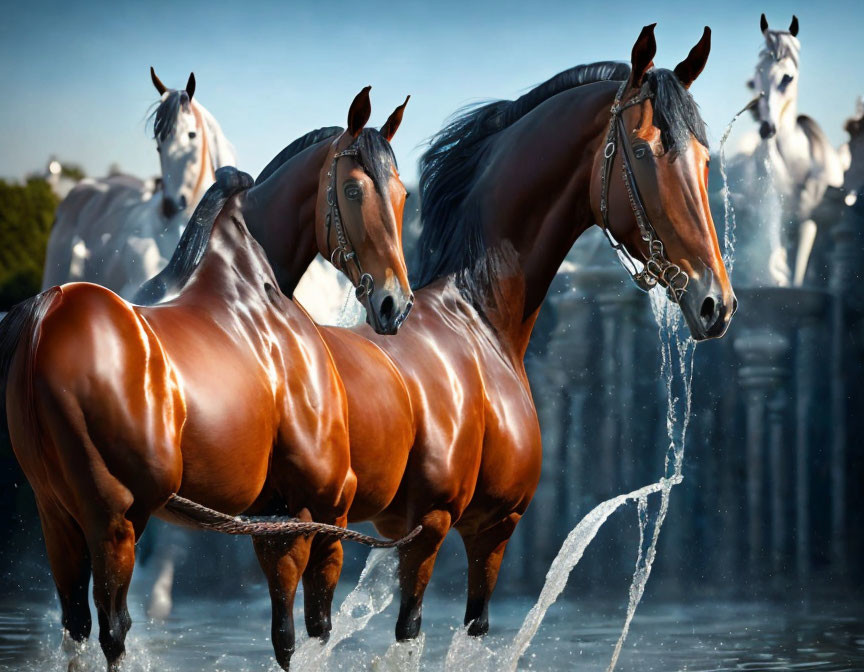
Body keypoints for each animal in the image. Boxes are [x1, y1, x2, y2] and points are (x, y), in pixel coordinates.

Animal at [245, 23, 736, 648]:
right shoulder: (467, 526)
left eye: (704, 158)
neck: (477, 320)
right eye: (644, 150)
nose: (715, 303)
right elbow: (426, 630)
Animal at [740, 14, 848, 284]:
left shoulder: (806, 225)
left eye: (787, 78)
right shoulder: (776, 219)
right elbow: (781, 270)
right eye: (756, 77)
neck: (796, 161)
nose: (766, 128)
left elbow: (798, 274)